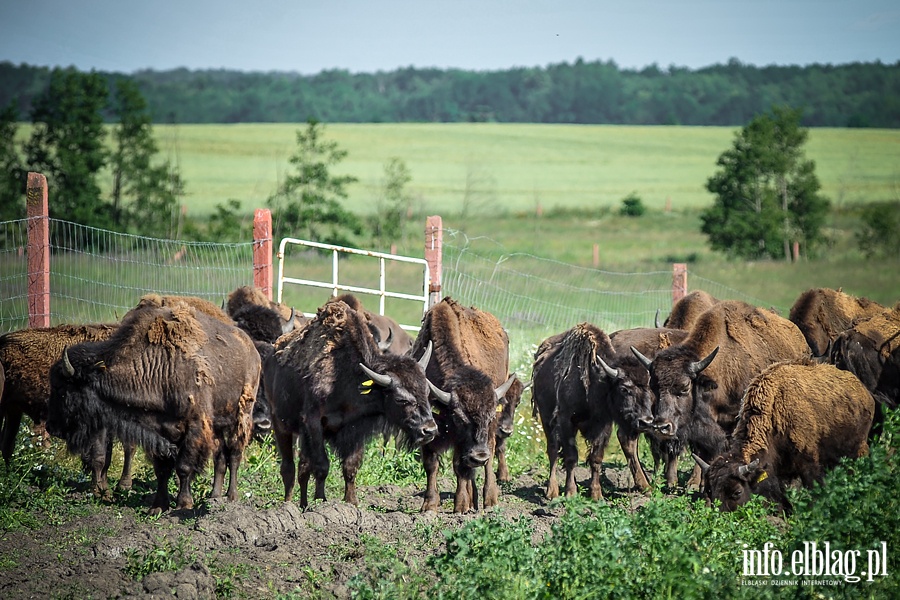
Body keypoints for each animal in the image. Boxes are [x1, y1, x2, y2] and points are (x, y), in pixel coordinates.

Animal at [46, 302, 258, 512]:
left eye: (61, 388)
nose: (51, 427)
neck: (158, 368)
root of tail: (251, 348)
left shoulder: (194, 427)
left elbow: (184, 467)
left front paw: (183, 504)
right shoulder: (159, 432)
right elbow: (162, 470)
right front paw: (158, 506)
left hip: (242, 417)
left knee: (234, 456)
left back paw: (231, 497)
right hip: (219, 425)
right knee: (220, 458)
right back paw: (214, 496)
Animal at [262, 300, 438, 506]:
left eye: (426, 392)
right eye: (400, 398)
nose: (430, 430)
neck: (346, 378)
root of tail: (272, 354)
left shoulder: (355, 429)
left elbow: (350, 466)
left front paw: (351, 502)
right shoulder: (313, 423)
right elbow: (322, 465)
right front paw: (321, 500)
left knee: (303, 467)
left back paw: (303, 504)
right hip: (280, 424)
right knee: (288, 467)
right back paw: (288, 503)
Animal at [412, 298, 516, 512]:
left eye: (490, 417)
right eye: (459, 418)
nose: (479, 456)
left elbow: (460, 466)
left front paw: (460, 505)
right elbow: (431, 463)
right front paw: (429, 505)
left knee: (489, 456)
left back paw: (489, 499)